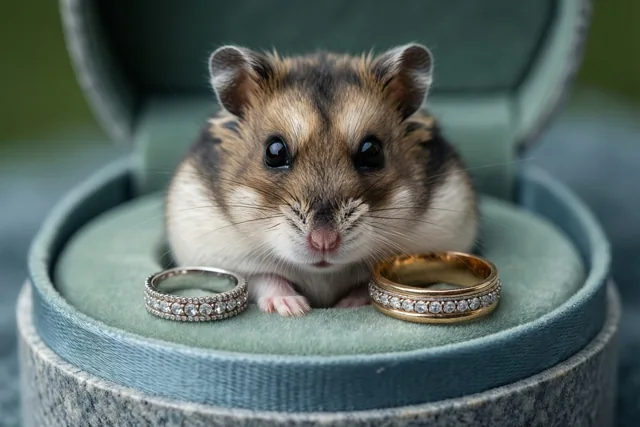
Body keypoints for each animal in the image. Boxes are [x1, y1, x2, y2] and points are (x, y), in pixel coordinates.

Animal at [165, 43, 478, 316]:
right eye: (274, 152)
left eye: (372, 151)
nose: (323, 242)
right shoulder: (220, 252)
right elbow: (264, 278)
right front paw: (294, 309)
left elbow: (365, 282)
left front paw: (346, 306)